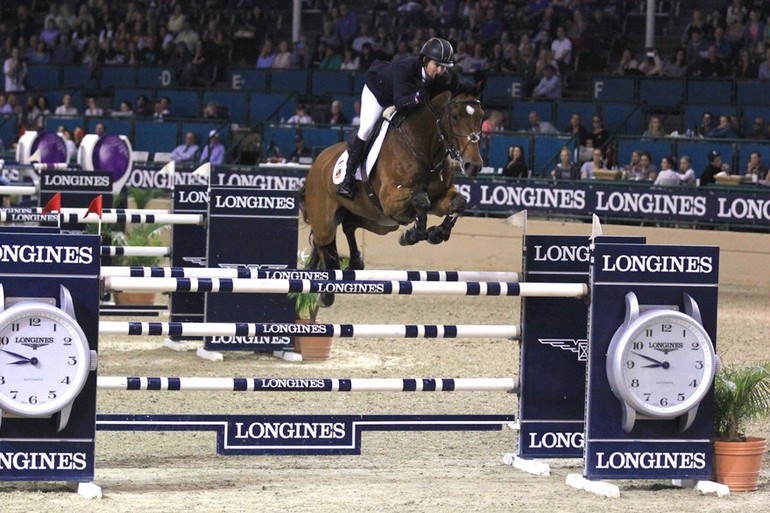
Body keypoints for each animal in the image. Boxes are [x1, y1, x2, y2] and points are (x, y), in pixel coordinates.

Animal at [296, 74, 484, 306]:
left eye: (481, 117)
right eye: (456, 116)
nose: (473, 165)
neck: (423, 150)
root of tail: (317, 163)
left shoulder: (439, 198)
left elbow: (458, 202)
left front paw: (436, 234)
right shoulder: (391, 200)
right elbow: (421, 200)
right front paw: (412, 234)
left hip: (378, 221)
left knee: (349, 225)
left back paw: (356, 262)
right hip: (326, 220)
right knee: (325, 246)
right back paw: (326, 294)